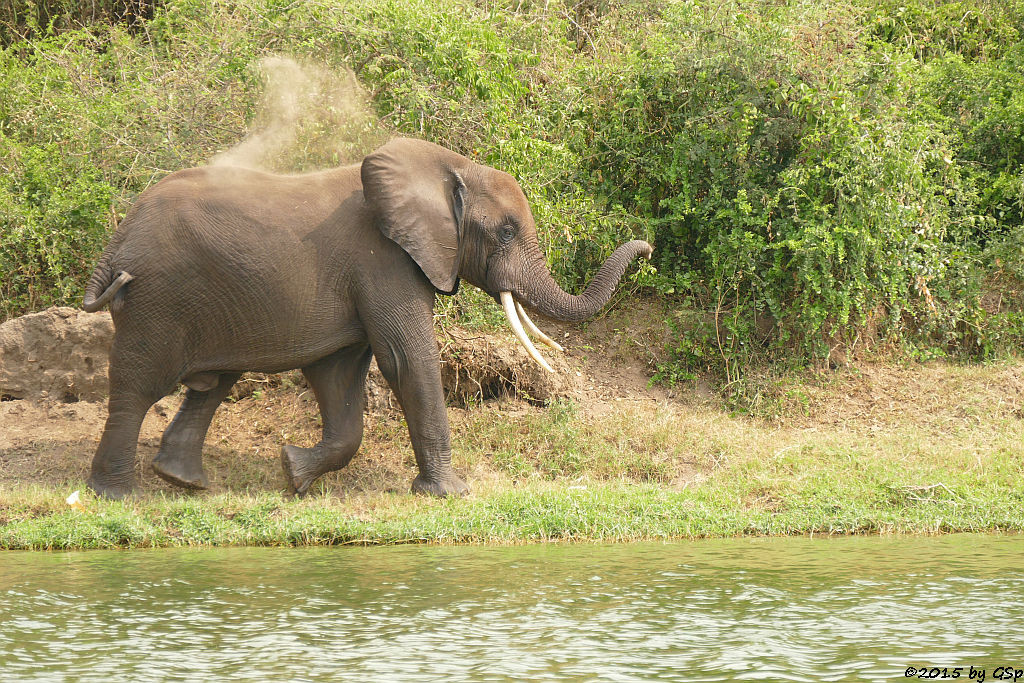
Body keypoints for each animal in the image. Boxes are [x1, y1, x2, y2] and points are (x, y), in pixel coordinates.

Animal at [83, 140, 651, 501]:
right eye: (507, 232)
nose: (646, 247)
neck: (449, 168)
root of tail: (116, 240)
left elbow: (338, 377)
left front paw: (294, 474)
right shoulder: (384, 260)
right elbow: (406, 360)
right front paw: (450, 494)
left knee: (214, 381)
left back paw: (183, 482)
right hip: (156, 300)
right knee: (137, 386)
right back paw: (118, 496)